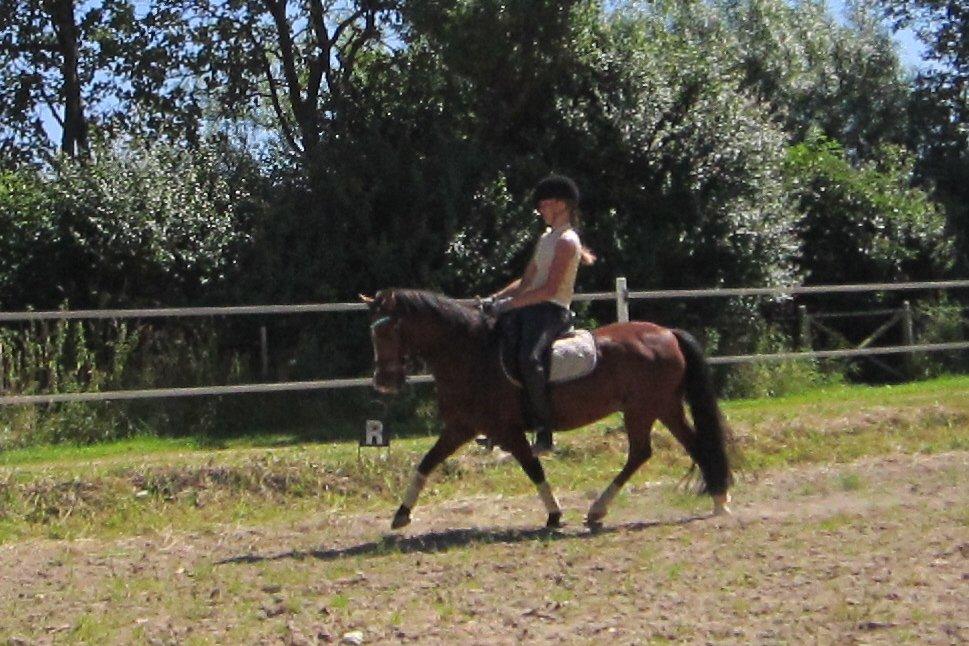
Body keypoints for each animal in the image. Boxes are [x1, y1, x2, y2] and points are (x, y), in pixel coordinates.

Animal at [364, 290, 732, 532]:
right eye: (373, 331)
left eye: (388, 329)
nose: (383, 382)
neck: (471, 355)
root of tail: (667, 333)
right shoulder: (460, 427)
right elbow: (426, 463)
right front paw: (401, 514)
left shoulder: (506, 430)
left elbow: (533, 467)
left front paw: (554, 515)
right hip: (663, 407)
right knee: (684, 446)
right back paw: (716, 499)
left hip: (643, 409)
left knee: (643, 452)